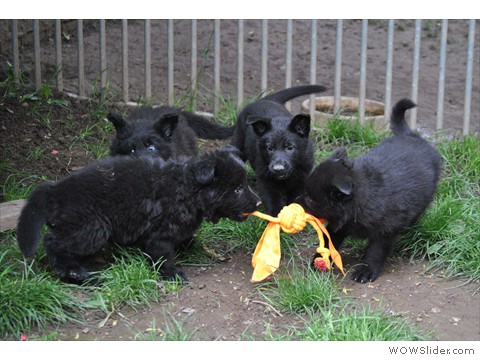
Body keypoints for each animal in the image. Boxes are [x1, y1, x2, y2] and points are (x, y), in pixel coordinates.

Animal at [16, 147, 260, 284]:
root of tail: (55, 190)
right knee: (52, 241)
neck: (187, 189)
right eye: (237, 189)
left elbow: (187, 240)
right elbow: (163, 255)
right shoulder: (160, 232)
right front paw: (171, 274)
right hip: (92, 227)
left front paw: (198, 248)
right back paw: (75, 273)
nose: (258, 202)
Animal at [231, 83, 328, 217]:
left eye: (290, 147)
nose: (278, 169)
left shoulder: (301, 179)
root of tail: (263, 100)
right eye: (270, 148)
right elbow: (273, 201)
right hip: (238, 141)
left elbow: (294, 201)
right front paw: (276, 218)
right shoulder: (266, 179)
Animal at [300, 99, 442, 284]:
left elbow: (375, 251)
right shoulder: (340, 224)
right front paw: (319, 259)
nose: (291, 205)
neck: (361, 197)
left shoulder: (385, 230)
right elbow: (328, 240)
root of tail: (411, 135)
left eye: (310, 199)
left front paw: (366, 270)